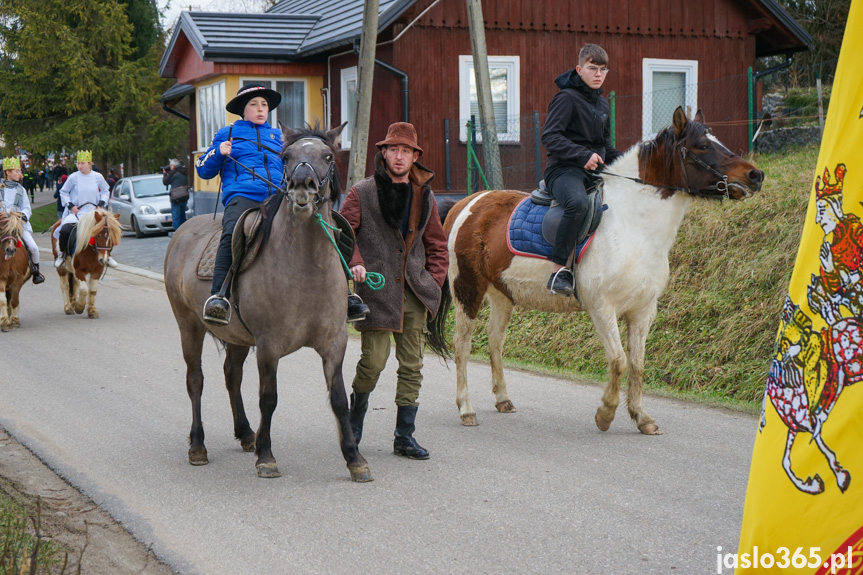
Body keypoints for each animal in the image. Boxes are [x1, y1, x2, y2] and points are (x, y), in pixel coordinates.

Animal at [165, 124, 374, 484]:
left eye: (327, 156)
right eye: (286, 157)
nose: (302, 187)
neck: (305, 267)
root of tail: (182, 230)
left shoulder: (334, 343)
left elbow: (338, 400)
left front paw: (354, 459)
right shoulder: (268, 346)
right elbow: (268, 398)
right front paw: (266, 457)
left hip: (236, 337)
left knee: (231, 375)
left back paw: (246, 433)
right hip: (188, 326)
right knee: (196, 380)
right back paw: (198, 446)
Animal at [446, 107, 764, 432]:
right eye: (702, 145)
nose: (756, 175)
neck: (633, 225)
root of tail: (468, 202)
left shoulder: (643, 311)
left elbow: (637, 364)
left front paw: (642, 417)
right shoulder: (602, 308)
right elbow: (619, 361)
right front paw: (606, 413)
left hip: (502, 294)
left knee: (495, 341)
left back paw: (503, 399)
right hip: (467, 290)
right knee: (462, 346)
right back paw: (466, 409)